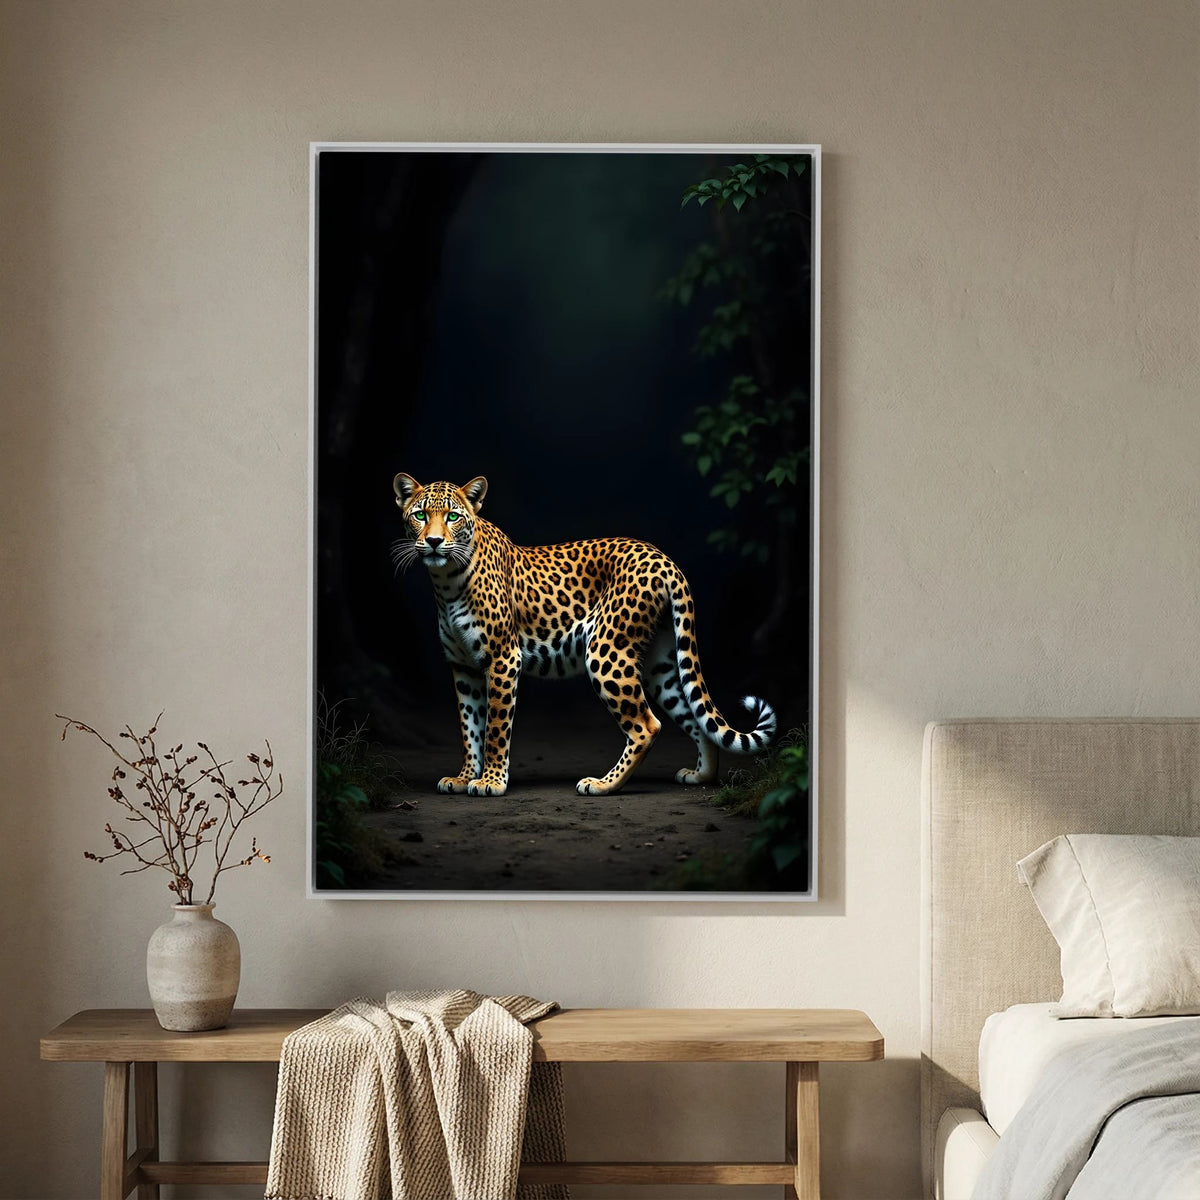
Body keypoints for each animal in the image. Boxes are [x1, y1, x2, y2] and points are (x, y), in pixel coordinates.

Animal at [391, 472, 777, 797]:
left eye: (453, 517)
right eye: (421, 515)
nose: (434, 541)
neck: (446, 582)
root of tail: (664, 559)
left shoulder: (502, 659)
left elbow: (495, 728)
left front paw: (491, 782)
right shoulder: (464, 667)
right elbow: (469, 727)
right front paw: (464, 777)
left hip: (607, 652)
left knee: (647, 725)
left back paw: (603, 784)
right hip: (659, 664)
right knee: (694, 715)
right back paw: (701, 776)